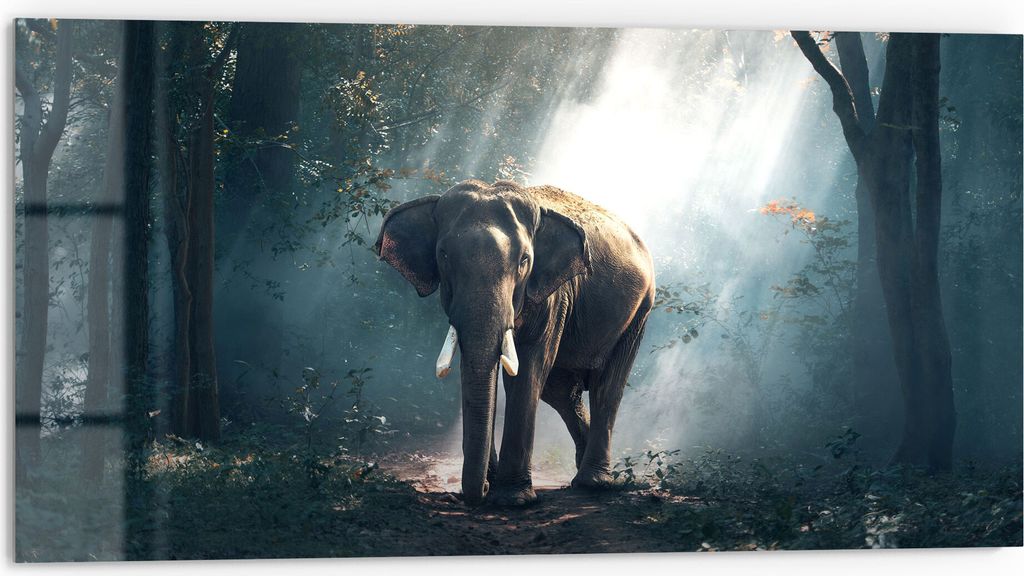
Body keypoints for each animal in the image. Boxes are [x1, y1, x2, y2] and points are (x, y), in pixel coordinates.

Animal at [374, 179, 655, 506]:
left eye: (524, 261)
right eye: (443, 255)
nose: (481, 490)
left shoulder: (553, 295)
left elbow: (529, 369)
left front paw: (512, 499)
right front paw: (495, 485)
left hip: (640, 312)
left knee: (606, 387)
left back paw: (593, 484)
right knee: (562, 392)